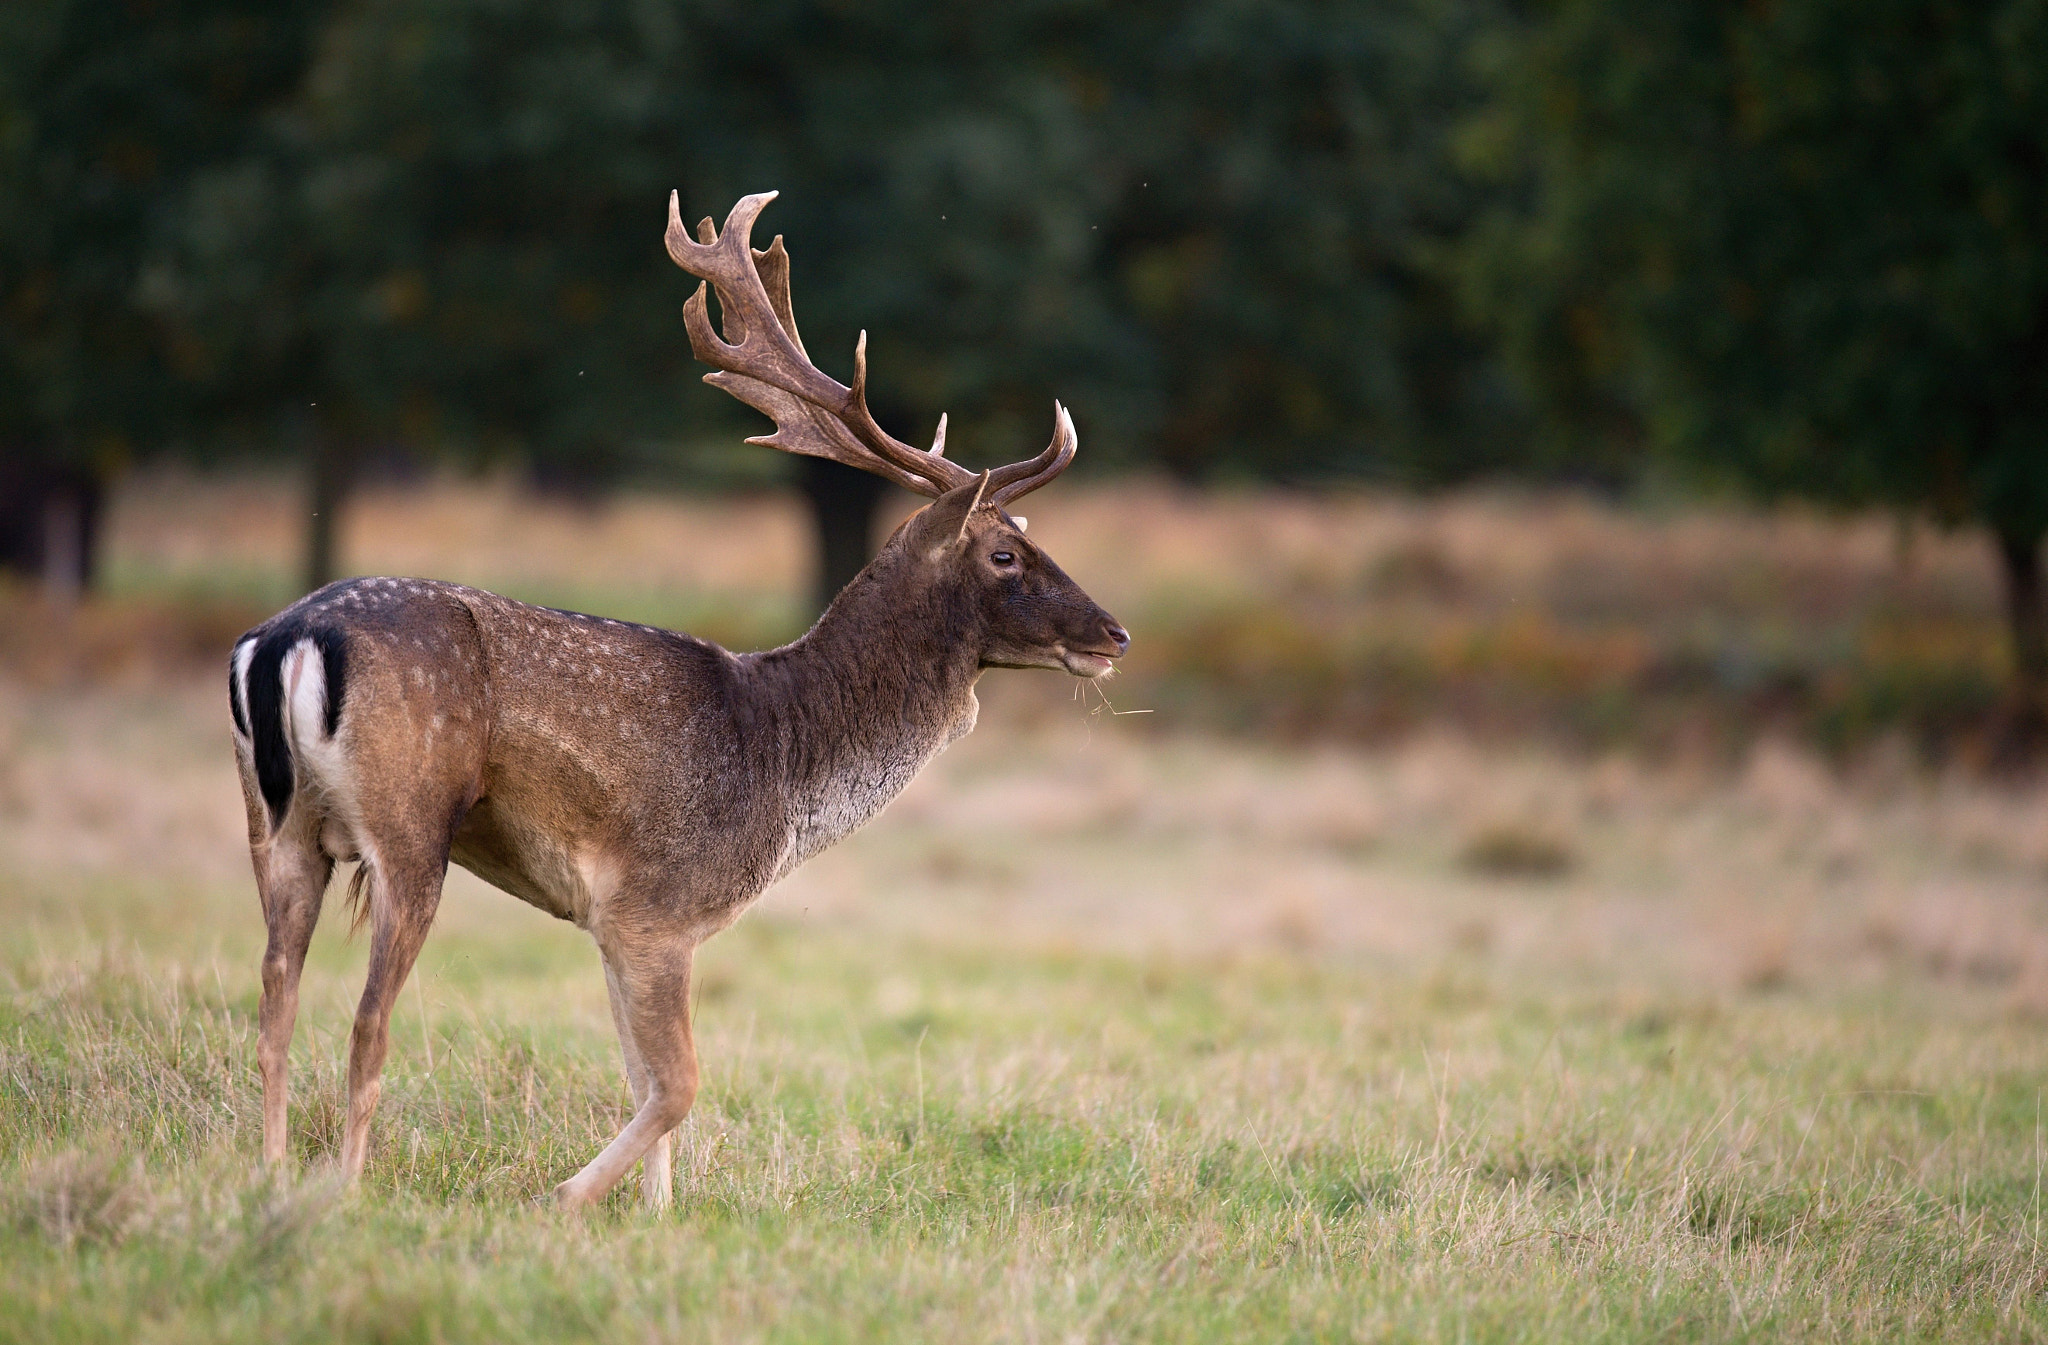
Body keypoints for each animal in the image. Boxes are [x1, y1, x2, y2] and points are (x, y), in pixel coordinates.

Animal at [230, 188, 1130, 1203]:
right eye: (1006, 552)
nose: (1115, 634)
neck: (784, 756)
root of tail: (289, 639)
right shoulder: (653, 905)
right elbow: (680, 1084)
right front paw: (568, 1197)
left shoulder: (620, 923)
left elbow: (643, 1079)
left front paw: (655, 1215)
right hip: (409, 823)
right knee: (366, 1022)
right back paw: (343, 1190)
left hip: (278, 827)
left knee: (272, 1005)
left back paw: (269, 1176)